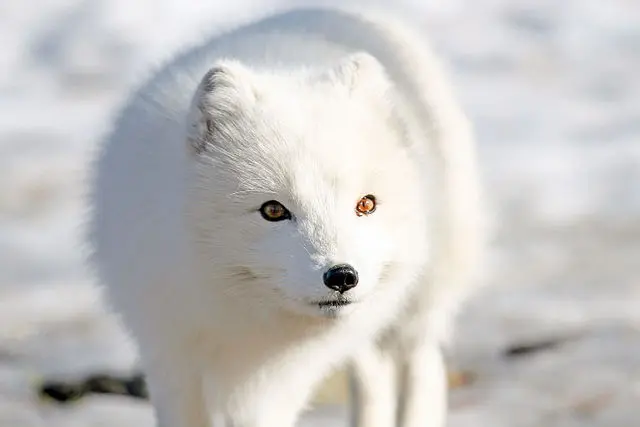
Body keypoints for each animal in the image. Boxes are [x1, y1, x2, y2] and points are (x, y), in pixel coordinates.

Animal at [89, 6, 484, 427]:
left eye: (365, 204)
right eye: (273, 210)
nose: (342, 276)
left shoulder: (280, 382)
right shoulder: (171, 354)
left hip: (420, 301)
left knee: (422, 363)